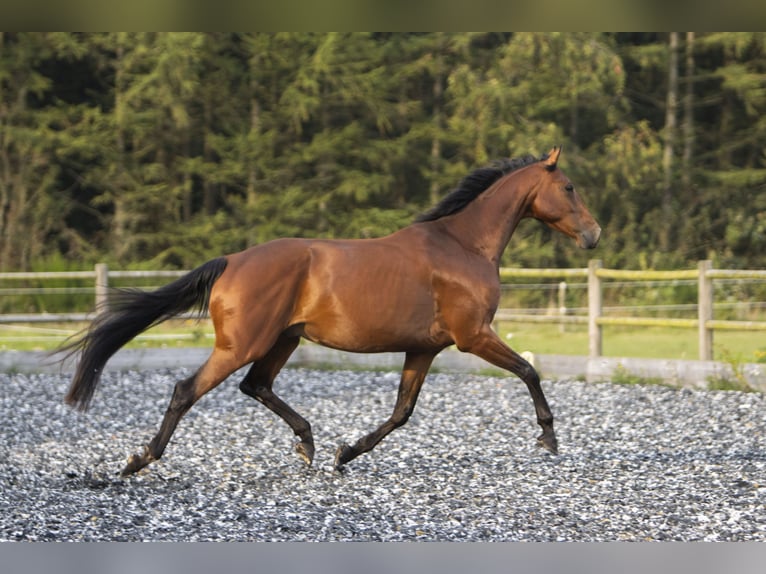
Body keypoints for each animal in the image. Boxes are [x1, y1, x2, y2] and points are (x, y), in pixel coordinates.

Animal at [63, 147, 604, 476]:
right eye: (570, 187)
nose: (595, 235)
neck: (463, 245)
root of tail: (232, 261)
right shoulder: (473, 336)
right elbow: (530, 371)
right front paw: (548, 438)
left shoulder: (424, 349)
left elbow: (401, 413)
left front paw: (347, 453)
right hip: (244, 344)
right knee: (187, 390)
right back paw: (139, 459)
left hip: (283, 340)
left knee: (256, 386)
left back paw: (308, 444)